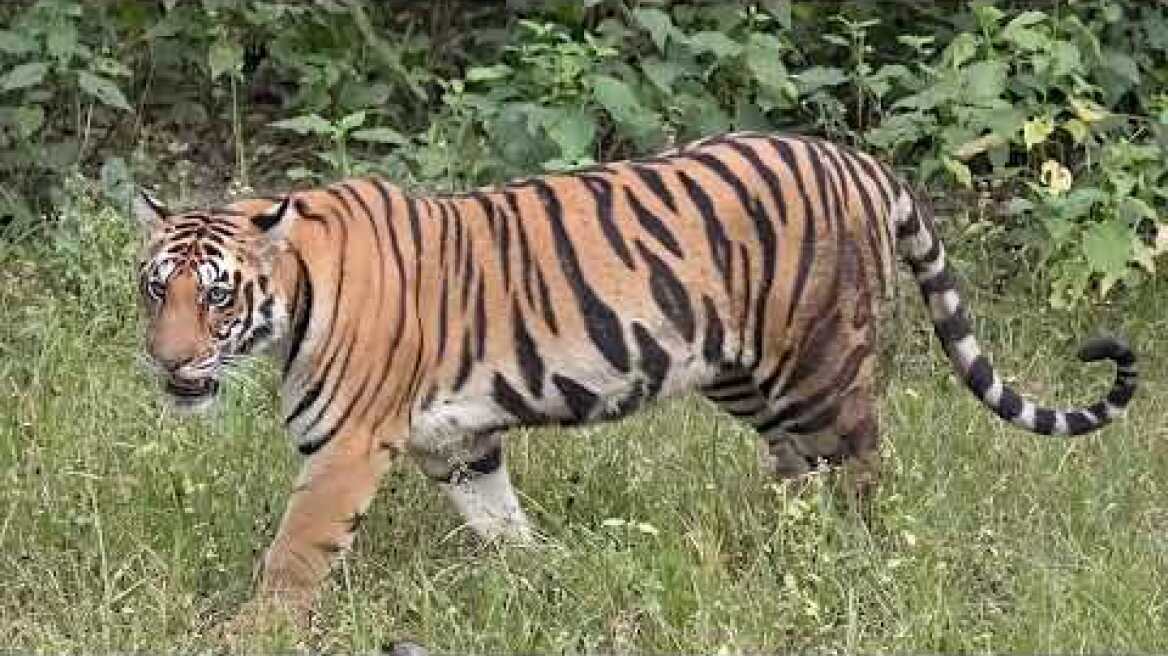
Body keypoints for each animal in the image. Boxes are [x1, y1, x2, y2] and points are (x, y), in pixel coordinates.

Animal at [134, 131, 1137, 613]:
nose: (169, 362)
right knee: (798, 469)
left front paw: (251, 634)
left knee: (861, 467)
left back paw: (859, 560)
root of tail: (859, 160)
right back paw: (782, 552)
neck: (293, 297)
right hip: (745, 374)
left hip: (820, 363)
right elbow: (499, 520)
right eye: (155, 289)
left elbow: (294, 554)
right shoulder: (458, 443)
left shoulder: (344, 448)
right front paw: (545, 575)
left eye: (217, 297)